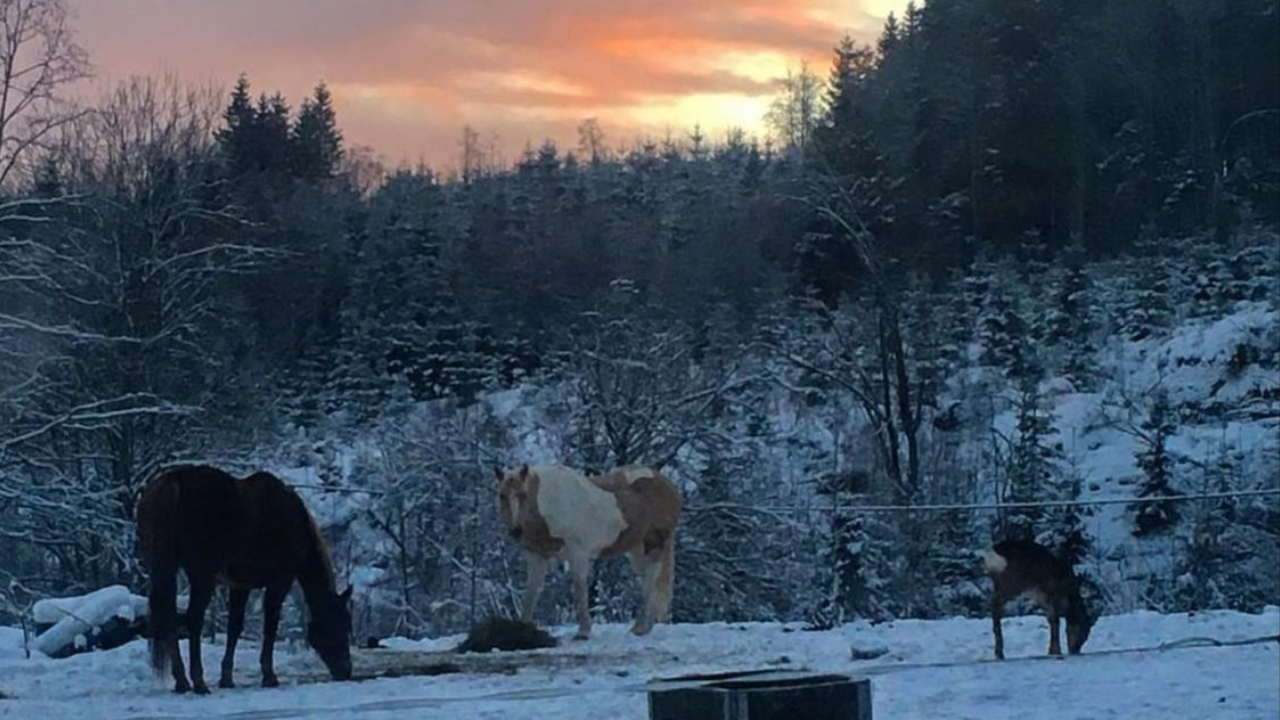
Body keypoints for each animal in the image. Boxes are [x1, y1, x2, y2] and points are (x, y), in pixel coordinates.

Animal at [135, 465, 352, 694]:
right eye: (340, 624)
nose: (346, 671)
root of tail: (173, 481)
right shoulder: (278, 583)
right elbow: (270, 626)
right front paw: (269, 676)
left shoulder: (240, 586)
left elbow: (235, 627)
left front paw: (227, 678)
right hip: (202, 576)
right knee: (193, 619)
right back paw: (199, 682)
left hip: (163, 569)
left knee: (169, 617)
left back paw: (182, 681)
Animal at [495, 464, 682, 640]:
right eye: (502, 495)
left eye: (523, 495)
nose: (516, 531)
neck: (549, 502)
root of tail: (669, 485)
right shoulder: (537, 556)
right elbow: (532, 591)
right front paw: (523, 628)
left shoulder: (578, 554)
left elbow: (579, 588)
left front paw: (583, 632)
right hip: (637, 551)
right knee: (648, 583)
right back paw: (645, 627)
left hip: (653, 546)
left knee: (651, 580)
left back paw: (640, 628)